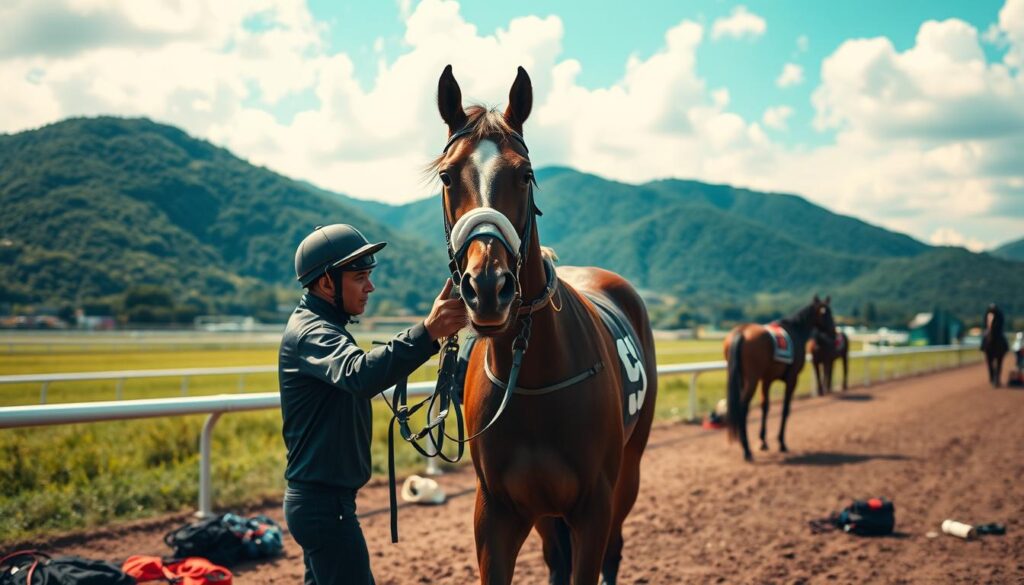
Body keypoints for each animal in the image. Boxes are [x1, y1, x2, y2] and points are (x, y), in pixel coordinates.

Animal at [430, 66, 655, 581]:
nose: (487, 287)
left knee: (615, 549)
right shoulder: (497, 513)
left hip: (630, 469)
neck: (532, 378)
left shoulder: (594, 508)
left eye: (525, 174)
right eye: (448, 176)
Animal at [724, 297, 835, 463]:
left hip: (740, 377)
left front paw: (763, 442)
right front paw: (782, 443)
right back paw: (747, 450)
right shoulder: (792, 379)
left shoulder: (766, 380)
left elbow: (765, 407)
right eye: (827, 313)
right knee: (743, 407)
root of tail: (741, 332)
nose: (834, 332)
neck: (796, 330)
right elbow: (785, 409)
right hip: (751, 380)